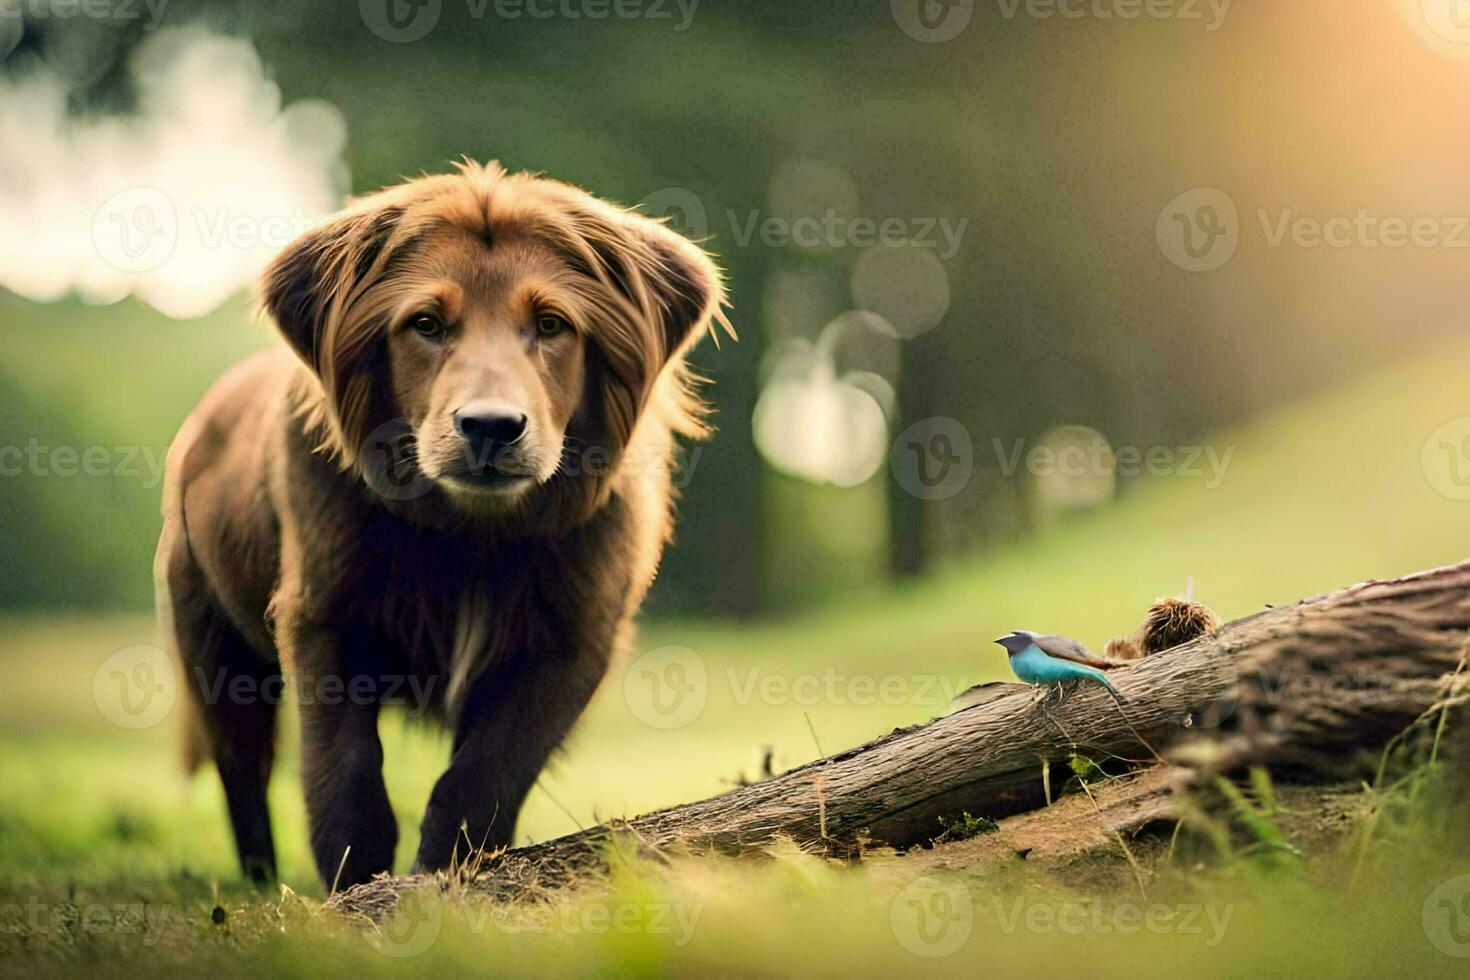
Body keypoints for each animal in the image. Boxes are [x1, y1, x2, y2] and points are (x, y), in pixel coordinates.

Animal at [156, 163, 729, 887]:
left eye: (551, 324)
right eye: (426, 324)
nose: (490, 426)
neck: (471, 534)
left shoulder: (573, 641)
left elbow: (487, 772)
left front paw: (449, 874)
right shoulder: (322, 615)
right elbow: (344, 771)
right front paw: (357, 884)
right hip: (213, 646)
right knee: (243, 778)